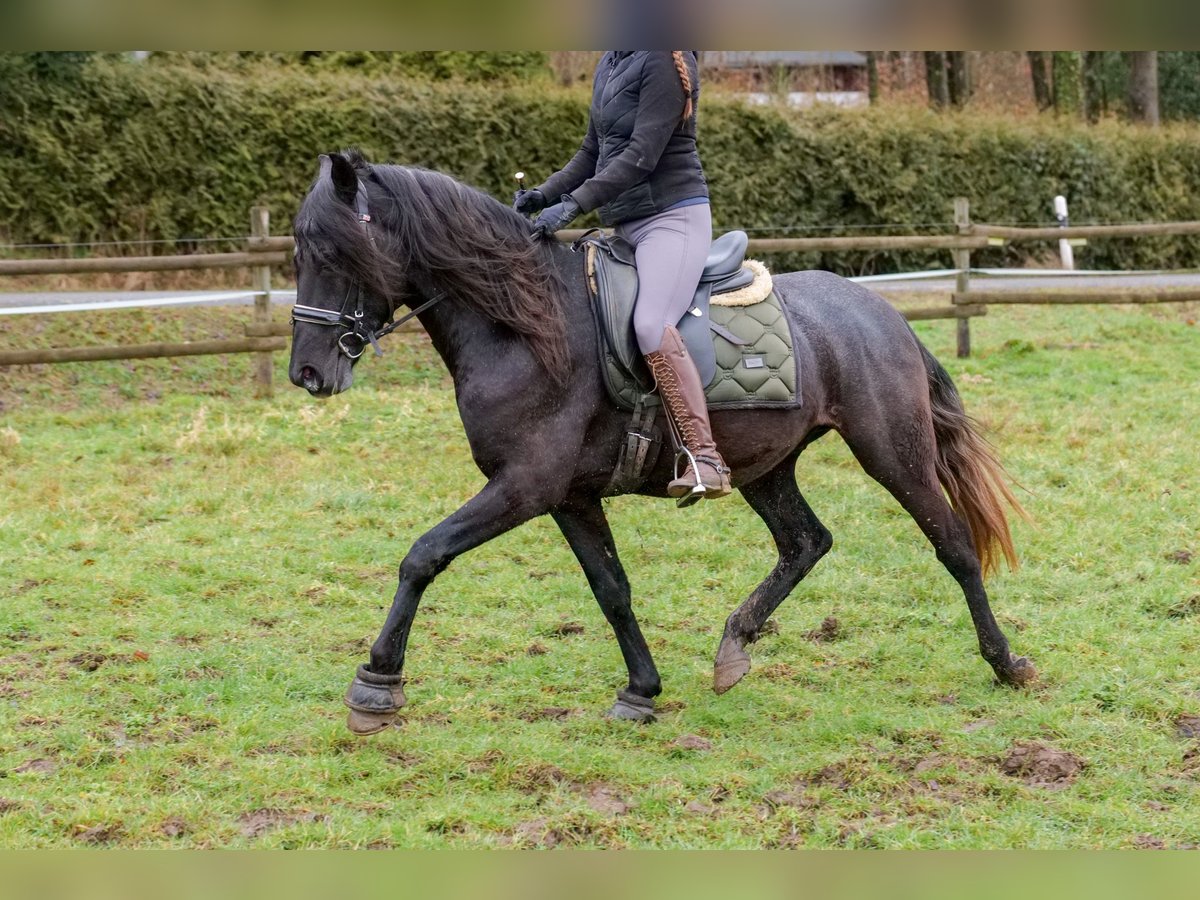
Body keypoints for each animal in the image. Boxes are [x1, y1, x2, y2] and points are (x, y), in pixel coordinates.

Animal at [288, 151, 1032, 734]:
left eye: (329, 252)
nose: (307, 373)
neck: (528, 326)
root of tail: (883, 313)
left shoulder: (524, 485)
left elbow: (423, 556)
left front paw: (376, 684)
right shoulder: (568, 495)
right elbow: (612, 588)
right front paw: (640, 692)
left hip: (893, 452)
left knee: (953, 544)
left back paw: (1007, 662)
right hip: (766, 466)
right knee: (805, 542)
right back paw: (735, 644)